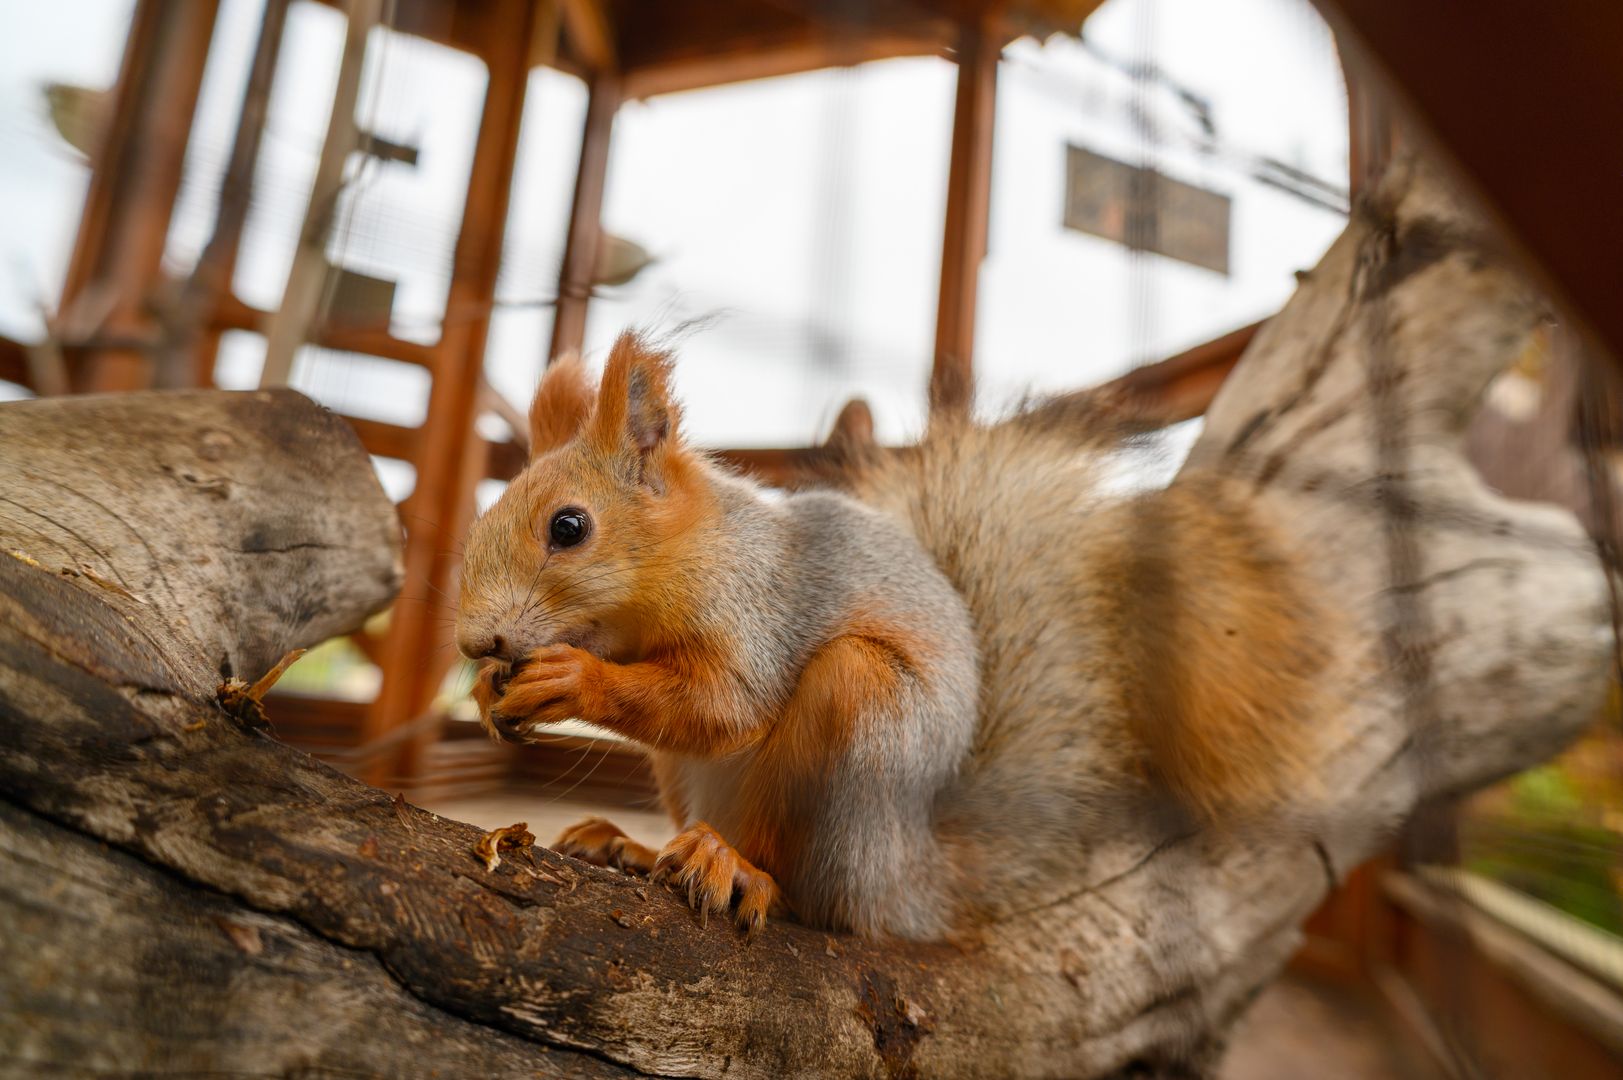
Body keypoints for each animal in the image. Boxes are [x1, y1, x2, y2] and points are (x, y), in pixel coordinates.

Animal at [456, 331, 1334, 940]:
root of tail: (910, 880)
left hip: (860, 724)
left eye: (569, 527)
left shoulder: (760, 609)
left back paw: (732, 866)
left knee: (807, 891)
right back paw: (632, 847)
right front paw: (491, 694)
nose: (473, 642)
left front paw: (571, 679)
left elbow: (723, 706)